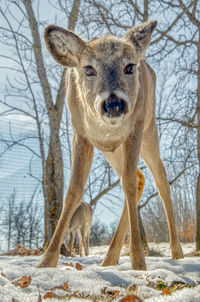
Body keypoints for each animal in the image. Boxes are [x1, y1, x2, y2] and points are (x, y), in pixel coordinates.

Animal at [38, 20, 184, 270]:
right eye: (88, 69)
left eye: (129, 67)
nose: (114, 104)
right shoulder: (80, 132)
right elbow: (73, 190)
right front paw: (45, 262)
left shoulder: (135, 127)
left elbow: (127, 184)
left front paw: (138, 261)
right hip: (112, 151)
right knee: (139, 178)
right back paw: (109, 259)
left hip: (149, 129)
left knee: (160, 180)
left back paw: (177, 253)